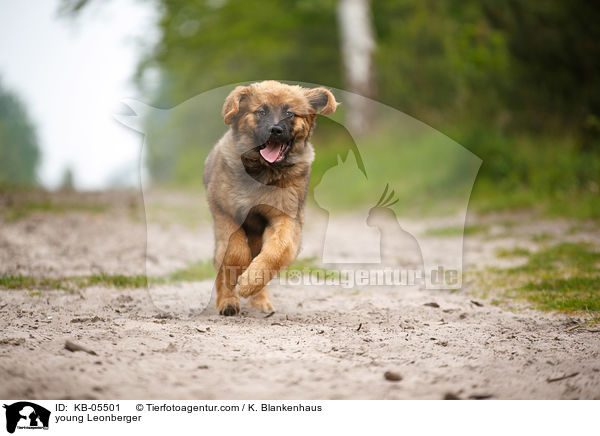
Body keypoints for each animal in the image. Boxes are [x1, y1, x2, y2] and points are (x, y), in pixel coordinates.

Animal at [204, 80, 338, 316]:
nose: (275, 130)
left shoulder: (285, 218)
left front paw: (249, 282)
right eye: (261, 111)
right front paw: (236, 280)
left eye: (289, 113)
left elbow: (277, 251)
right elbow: (235, 253)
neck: (263, 172)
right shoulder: (224, 212)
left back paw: (260, 300)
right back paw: (228, 301)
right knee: (223, 261)